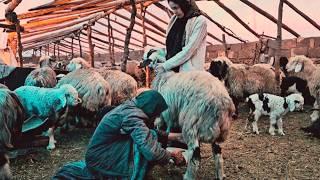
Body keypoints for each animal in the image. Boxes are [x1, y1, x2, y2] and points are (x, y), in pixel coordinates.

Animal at [141, 48, 236, 180]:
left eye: (149, 52)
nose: (141, 61)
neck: (164, 76)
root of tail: (222, 103)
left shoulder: (165, 113)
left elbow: (161, 127)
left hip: (192, 124)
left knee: (196, 157)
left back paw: (188, 176)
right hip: (217, 131)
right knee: (218, 156)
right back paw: (220, 175)